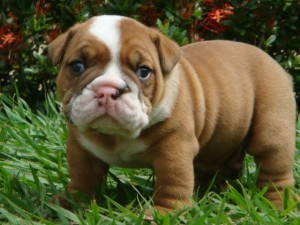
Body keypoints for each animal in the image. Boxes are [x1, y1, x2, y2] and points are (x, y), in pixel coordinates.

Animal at [47, 15, 298, 213]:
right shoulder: (81, 148)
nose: (108, 90)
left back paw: (278, 203)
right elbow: (83, 177)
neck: (116, 136)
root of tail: (275, 63)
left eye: (143, 71)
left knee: (274, 167)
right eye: (77, 66)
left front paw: (163, 212)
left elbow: (172, 181)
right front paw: (72, 202)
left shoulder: (174, 148)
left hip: (272, 129)